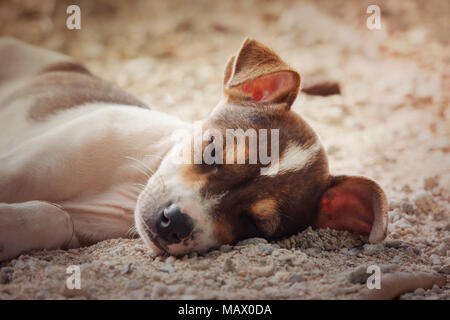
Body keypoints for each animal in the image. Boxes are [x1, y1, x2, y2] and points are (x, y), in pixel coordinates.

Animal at [0, 37, 386, 260]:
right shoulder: (18, 167)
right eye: (212, 151)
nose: (174, 223)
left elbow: (55, 216)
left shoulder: (77, 225)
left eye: (254, 224)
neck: (128, 183)